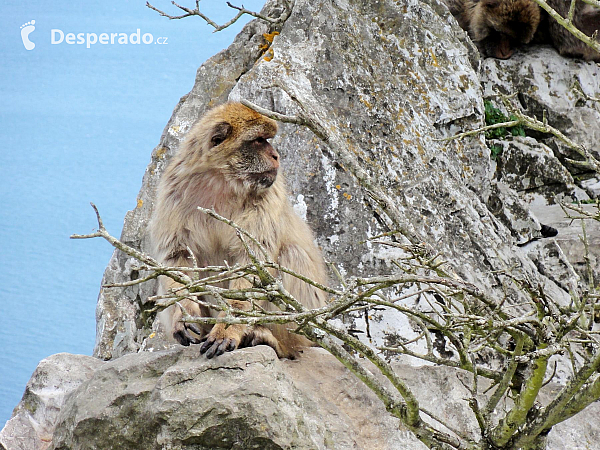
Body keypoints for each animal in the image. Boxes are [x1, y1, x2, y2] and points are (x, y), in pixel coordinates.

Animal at [150, 101, 328, 358]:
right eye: (259, 141)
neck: (222, 181)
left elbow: (252, 265)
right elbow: (176, 257)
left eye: (266, 139)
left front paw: (227, 329)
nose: (276, 155)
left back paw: (270, 339)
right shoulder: (172, 192)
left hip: (306, 327)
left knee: (292, 255)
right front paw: (184, 315)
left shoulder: (267, 197)